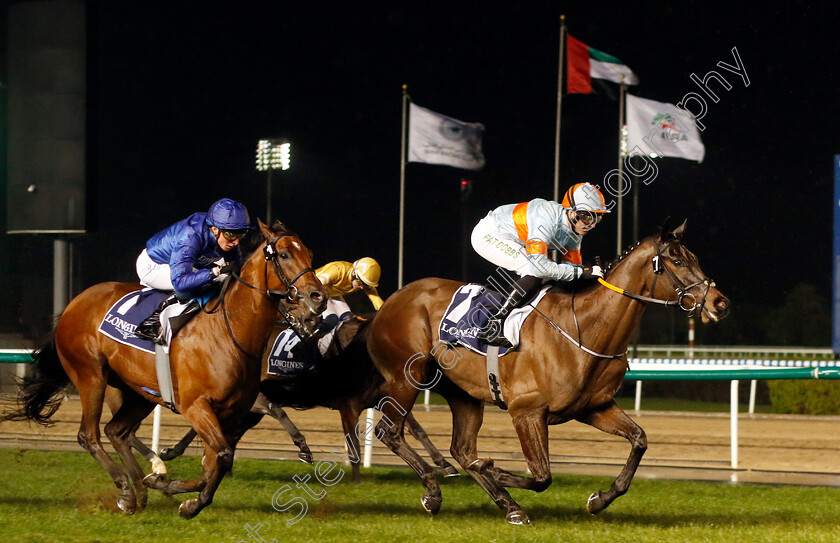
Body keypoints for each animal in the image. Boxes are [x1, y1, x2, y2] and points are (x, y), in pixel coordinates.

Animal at [1, 220, 326, 520]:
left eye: (309, 253)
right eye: (283, 254)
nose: (317, 298)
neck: (229, 331)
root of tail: (73, 304)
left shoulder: (231, 414)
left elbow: (217, 462)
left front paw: (181, 493)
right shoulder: (196, 406)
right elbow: (220, 457)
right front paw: (182, 495)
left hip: (137, 391)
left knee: (116, 431)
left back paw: (143, 487)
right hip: (90, 376)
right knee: (89, 435)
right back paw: (127, 489)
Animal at [368, 222, 728, 528]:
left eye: (695, 259)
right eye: (677, 261)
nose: (720, 303)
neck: (583, 330)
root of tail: (392, 300)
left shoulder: (593, 408)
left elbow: (639, 439)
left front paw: (599, 499)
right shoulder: (526, 411)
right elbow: (542, 476)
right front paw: (492, 468)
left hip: (463, 393)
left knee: (463, 449)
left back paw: (508, 505)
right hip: (408, 376)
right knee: (391, 432)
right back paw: (434, 489)